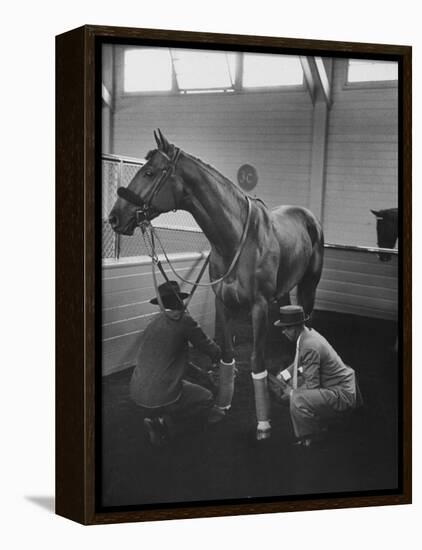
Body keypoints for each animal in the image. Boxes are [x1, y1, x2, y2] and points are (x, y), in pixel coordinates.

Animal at [108, 128, 324, 440]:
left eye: (149, 172)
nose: (114, 217)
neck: (236, 239)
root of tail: (309, 217)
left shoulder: (258, 307)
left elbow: (256, 361)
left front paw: (263, 424)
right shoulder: (223, 303)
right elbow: (227, 354)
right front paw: (221, 407)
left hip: (309, 285)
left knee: (306, 322)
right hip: (284, 291)